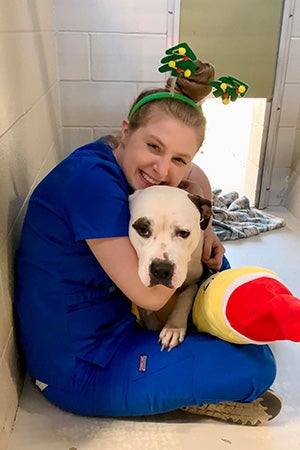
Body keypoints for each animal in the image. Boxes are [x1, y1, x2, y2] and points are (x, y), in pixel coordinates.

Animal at [128, 185, 211, 350]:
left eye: (184, 233)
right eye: (143, 230)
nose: (161, 270)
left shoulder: (196, 278)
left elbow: (186, 296)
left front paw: (174, 327)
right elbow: (146, 310)